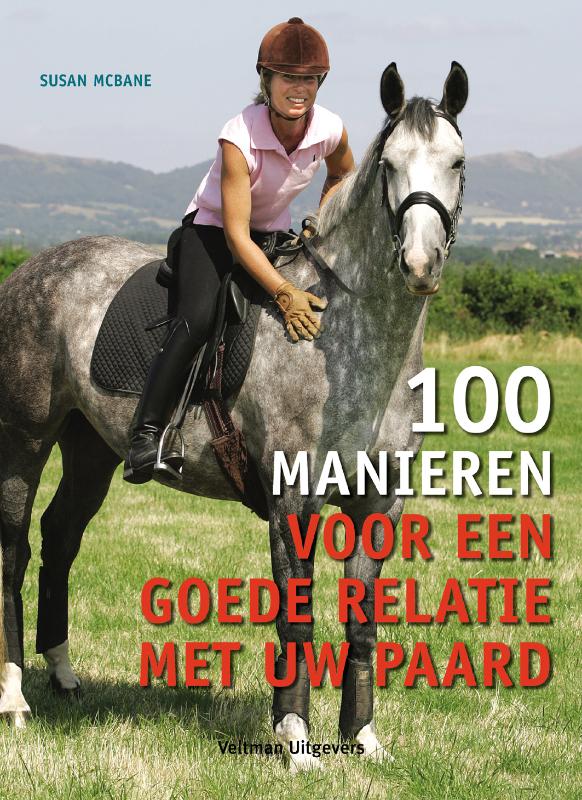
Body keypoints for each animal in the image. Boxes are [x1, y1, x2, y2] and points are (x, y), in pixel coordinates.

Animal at [0, 61, 467, 772]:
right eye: (389, 165)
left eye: (457, 162)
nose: (420, 263)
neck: (354, 342)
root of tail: (31, 270)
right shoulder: (293, 501)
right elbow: (296, 615)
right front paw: (295, 739)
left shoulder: (379, 503)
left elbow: (363, 621)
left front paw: (362, 738)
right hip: (24, 440)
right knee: (15, 547)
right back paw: (15, 699)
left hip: (90, 447)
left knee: (61, 537)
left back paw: (63, 675)